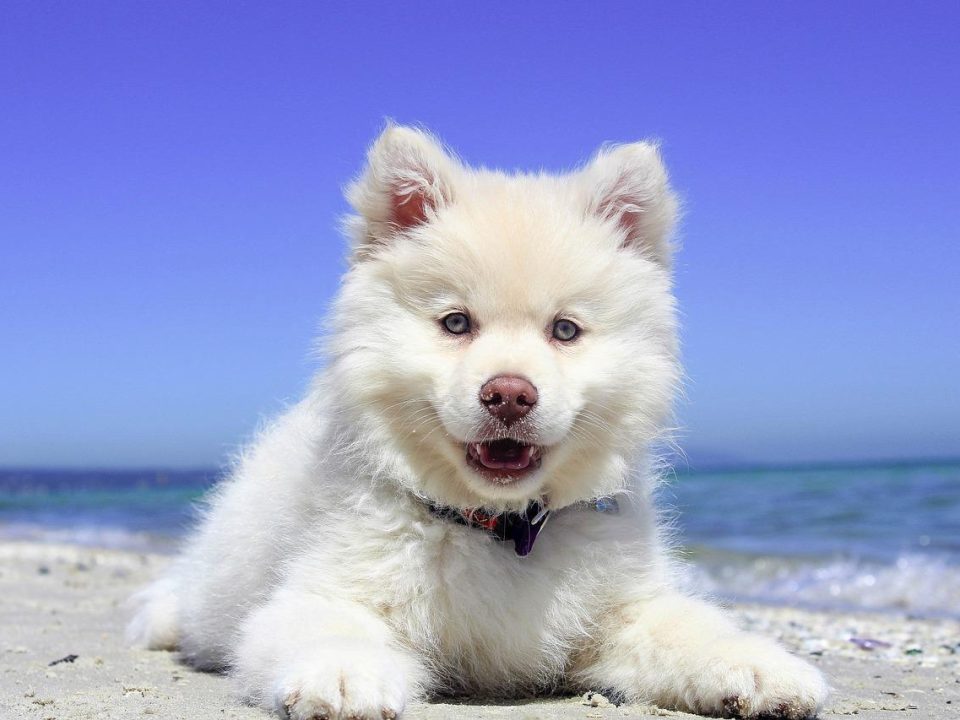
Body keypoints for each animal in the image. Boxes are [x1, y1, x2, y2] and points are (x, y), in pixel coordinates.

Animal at [129, 126, 824, 716]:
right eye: (456, 323)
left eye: (564, 331)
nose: (509, 395)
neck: (500, 528)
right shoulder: (324, 588)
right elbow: (326, 625)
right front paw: (344, 675)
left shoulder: (623, 611)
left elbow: (689, 627)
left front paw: (760, 666)